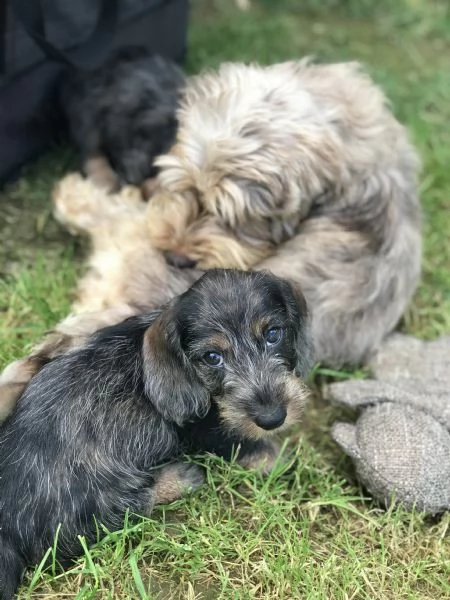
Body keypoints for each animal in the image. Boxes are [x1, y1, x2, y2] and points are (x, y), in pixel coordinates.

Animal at [0, 270, 312, 596]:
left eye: (273, 334)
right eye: (212, 357)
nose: (273, 417)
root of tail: (8, 530)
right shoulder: (206, 429)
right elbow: (242, 442)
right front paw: (276, 458)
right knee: (124, 510)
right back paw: (181, 477)